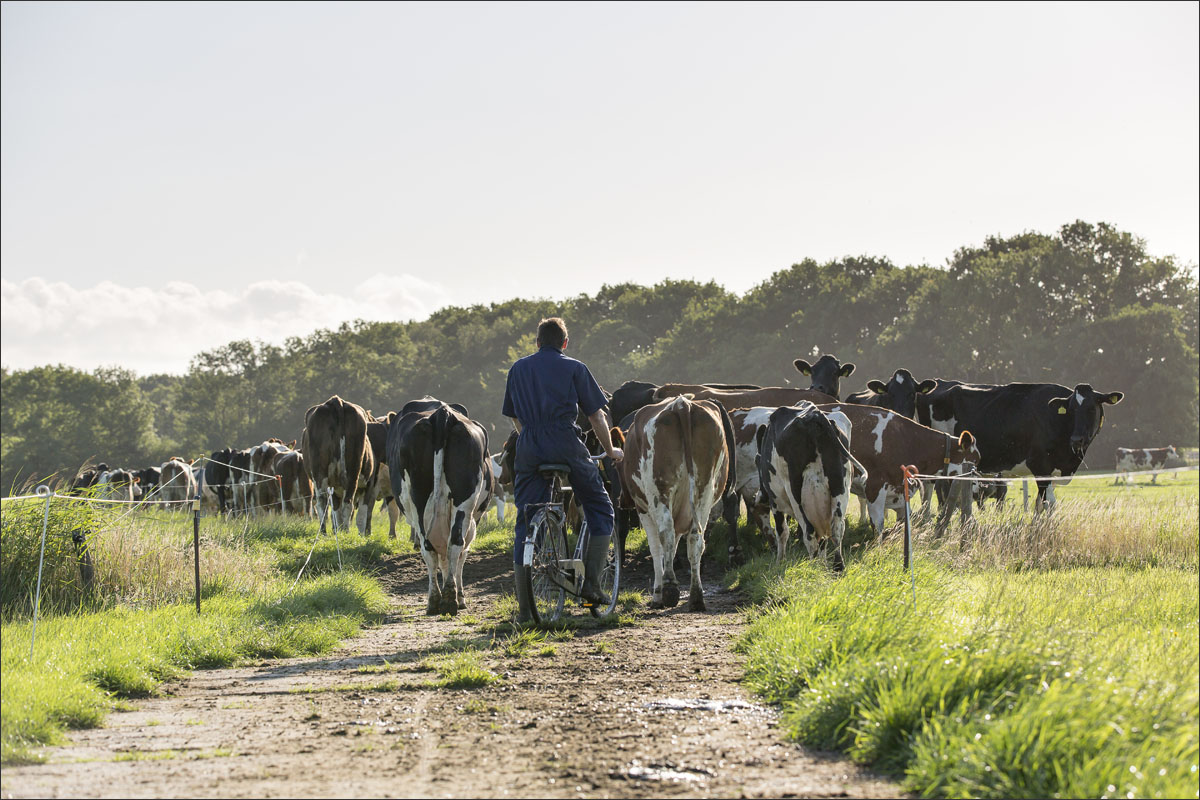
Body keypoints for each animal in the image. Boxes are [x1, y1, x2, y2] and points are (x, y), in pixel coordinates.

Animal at [300, 398, 374, 534]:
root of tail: (336, 401)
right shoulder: (368, 484)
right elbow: (360, 514)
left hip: (320, 473)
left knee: (322, 501)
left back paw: (324, 532)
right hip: (352, 471)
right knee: (347, 503)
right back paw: (344, 531)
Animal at [388, 398, 492, 618]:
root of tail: (442, 413)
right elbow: (458, 557)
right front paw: (460, 597)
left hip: (418, 500)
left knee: (431, 547)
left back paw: (437, 600)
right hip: (462, 499)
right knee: (453, 544)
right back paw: (448, 599)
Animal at [614, 395, 734, 614]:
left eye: (618, 465)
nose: (622, 500)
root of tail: (681, 404)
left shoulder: (643, 509)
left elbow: (656, 548)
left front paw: (657, 594)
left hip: (660, 491)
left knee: (666, 533)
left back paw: (669, 588)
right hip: (705, 492)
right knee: (696, 539)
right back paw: (696, 597)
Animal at [748, 407, 864, 568]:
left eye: (757, 462)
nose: (758, 497)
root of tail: (815, 416)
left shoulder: (775, 501)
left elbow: (782, 531)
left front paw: (780, 561)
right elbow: (823, 541)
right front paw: (823, 564)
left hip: (796, 495)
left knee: (809, 533)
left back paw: (813, 568)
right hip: (840, 489)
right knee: (836, 530)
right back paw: (837, 567)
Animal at [916, 381, 1123, 506]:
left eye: (1091, 409)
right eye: (1071, 410)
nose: (1077, 439)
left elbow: (1040, 505)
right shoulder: (1040, 466)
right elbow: (1049, 504)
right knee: (929, 489)